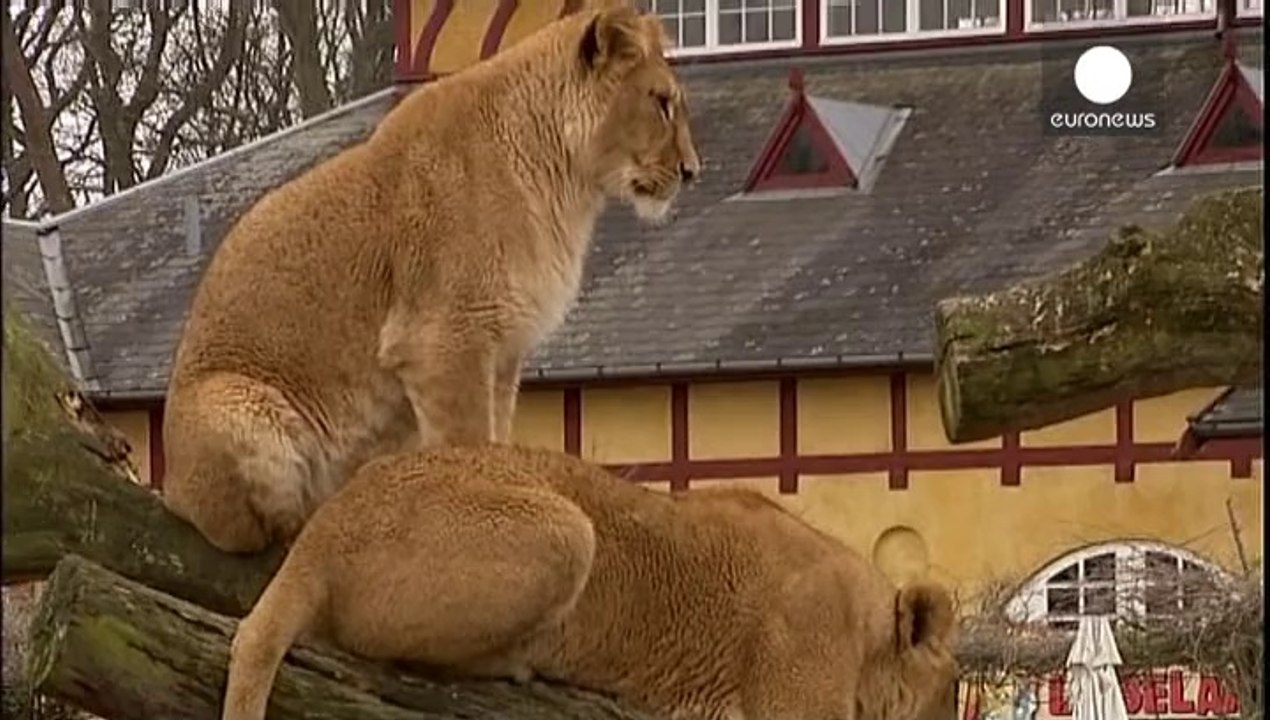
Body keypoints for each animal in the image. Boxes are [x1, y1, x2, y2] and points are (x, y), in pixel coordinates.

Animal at [160, 5, 701, 554]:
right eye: (661, 103)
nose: (692, 171)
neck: (564, 184)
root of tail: (172, 486)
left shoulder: (503, 351)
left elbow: (497, 438)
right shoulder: (445, 339)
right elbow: (468, 443)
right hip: (236, 405)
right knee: (255, 532)